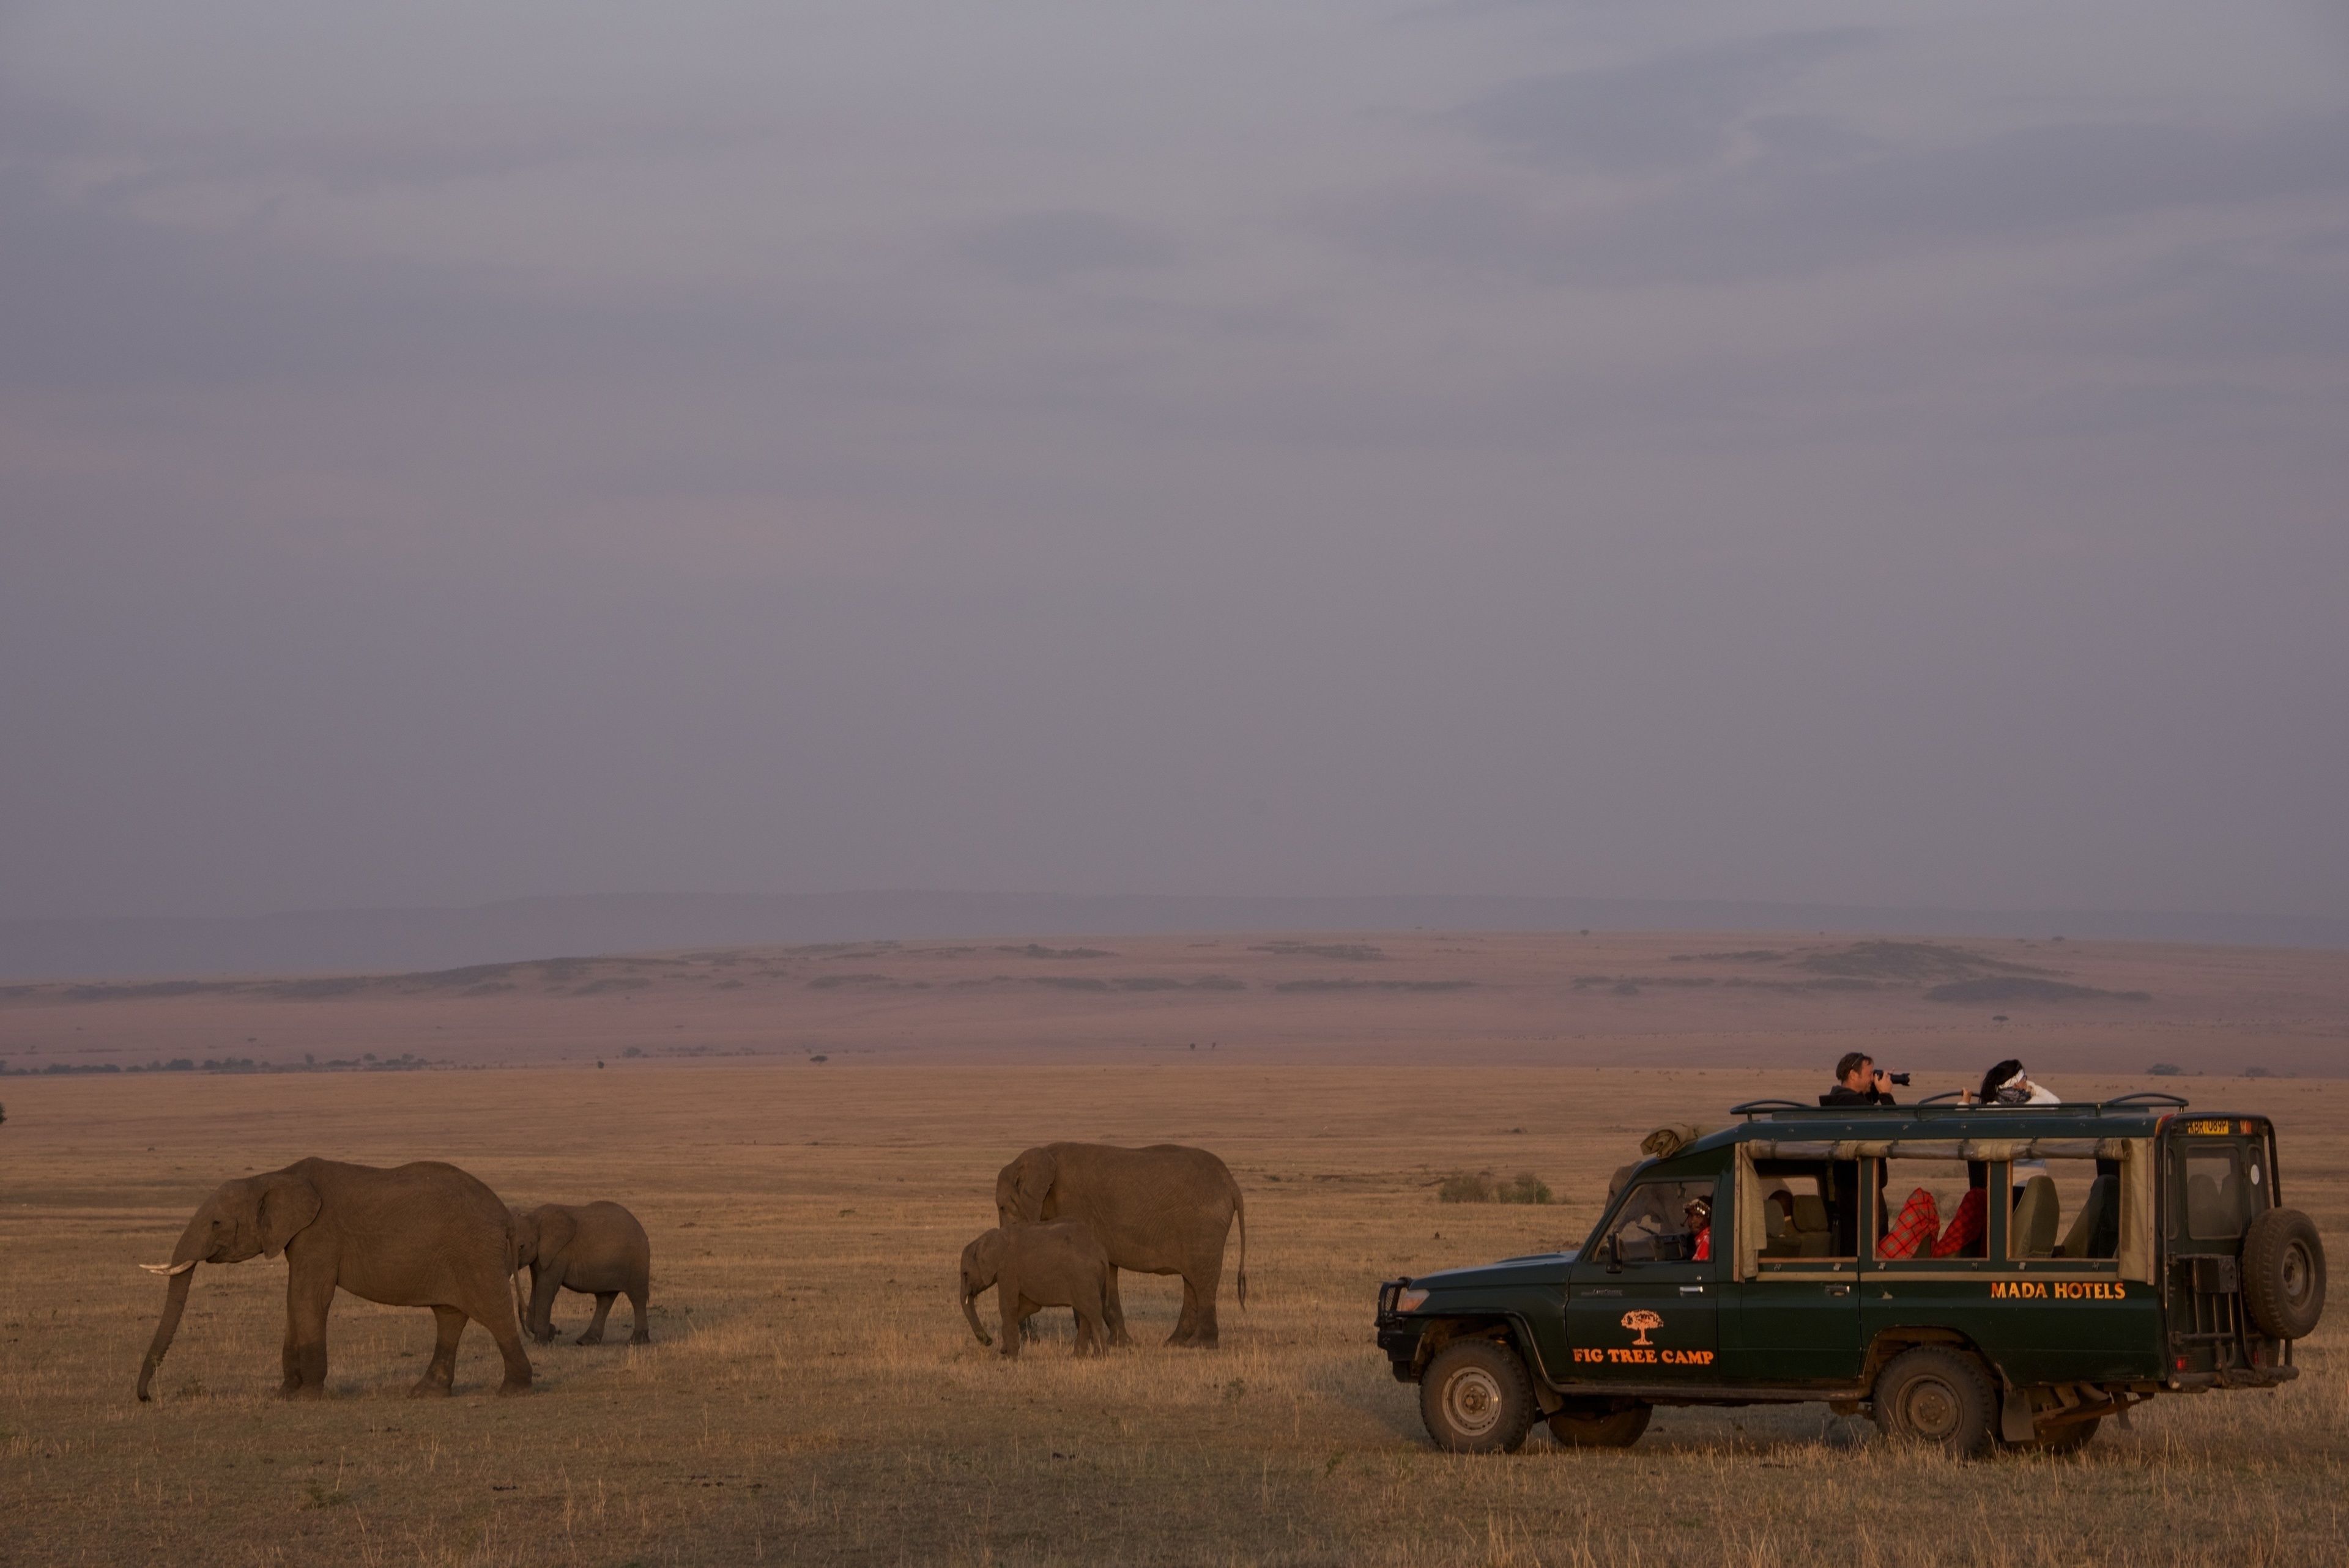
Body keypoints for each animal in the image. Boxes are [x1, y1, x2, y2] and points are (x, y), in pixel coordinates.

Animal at [136, 1157, 531, 1401]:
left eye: (217, 1223)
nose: (147, 1397)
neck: (275, 1176)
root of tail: (507, 1218)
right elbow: (294, 1299)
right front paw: (284, 1395)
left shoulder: (319, 1234)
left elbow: (308, 1297)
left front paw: (307, 1397)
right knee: (449, 1316)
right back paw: (425, 1393)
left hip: (477, 1253)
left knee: (494, 1312)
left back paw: (514, 1391)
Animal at [509, 1201, 652, 1346]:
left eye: (521, 1246)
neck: (534, 1217)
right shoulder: (540, 1257)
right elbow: (537, 1286)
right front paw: (551, 1333)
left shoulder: (559, 1253)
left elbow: (546, 1290)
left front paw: (542, 1342)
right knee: (605, 1299)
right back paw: (585, 1341)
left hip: (637, 1261)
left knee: (637, 1297)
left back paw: (636, 1342)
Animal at [959, 1221, 1112, 1358]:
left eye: (965, 1274)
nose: (989, 1341)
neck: (990, 1238)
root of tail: (1101, 1253)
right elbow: (1029, 1307)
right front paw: (1005, 1350)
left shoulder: (1007, 1270)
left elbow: (1008, 1307)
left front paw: (1010, 1357)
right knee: (1085, 1313)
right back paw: (1077, 1357)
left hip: (1084, 1278)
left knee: (1092, 1313)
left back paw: (1100, 1357)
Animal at [995, 1142, 1247, 1348]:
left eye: (1002, 1207)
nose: (1032, 1338)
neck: (1041, 1155)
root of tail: (1233, 1185)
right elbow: (1108, 1272)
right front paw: (1121, 1345)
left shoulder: (1073, 1207)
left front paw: (1085, 1344)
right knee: (1192, 1281)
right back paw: (1176, 1343)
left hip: (1204, 1227)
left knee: (1202, 1280)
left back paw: (1199, 1345)